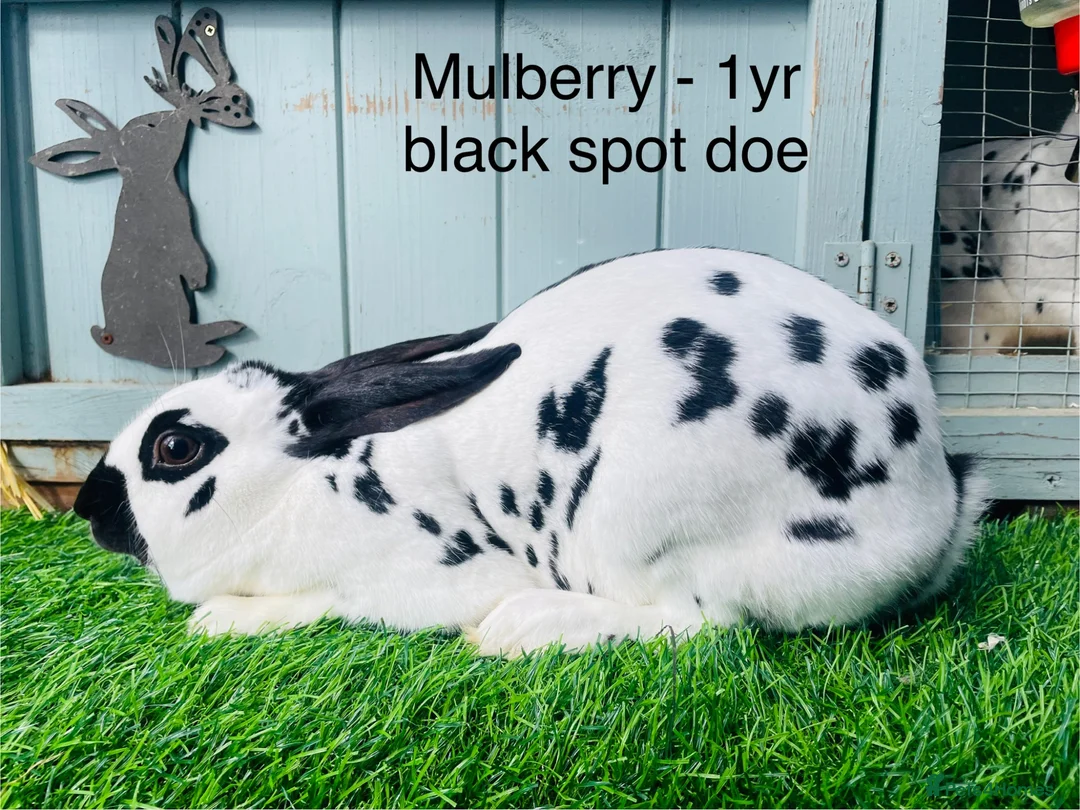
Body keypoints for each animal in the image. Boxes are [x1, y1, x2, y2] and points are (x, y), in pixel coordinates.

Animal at [29, 8, 252, 369]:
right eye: (149, 126)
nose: (182, 114)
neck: (146, 180)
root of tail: (110, 339)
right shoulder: (179, 227)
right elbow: (190, 255)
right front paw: (200, 280)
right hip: (169, 304)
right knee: (179, 344)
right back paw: (212, 346)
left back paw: (223, 329)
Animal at [72, 248, 989, 658]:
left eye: (176, 446)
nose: (86, 507)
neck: (302, 481)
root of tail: (930, 514)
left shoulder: (411, 578)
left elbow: (324, 603)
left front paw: (220, 619)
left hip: (639, 522)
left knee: (700, 626)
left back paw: (520, 628)